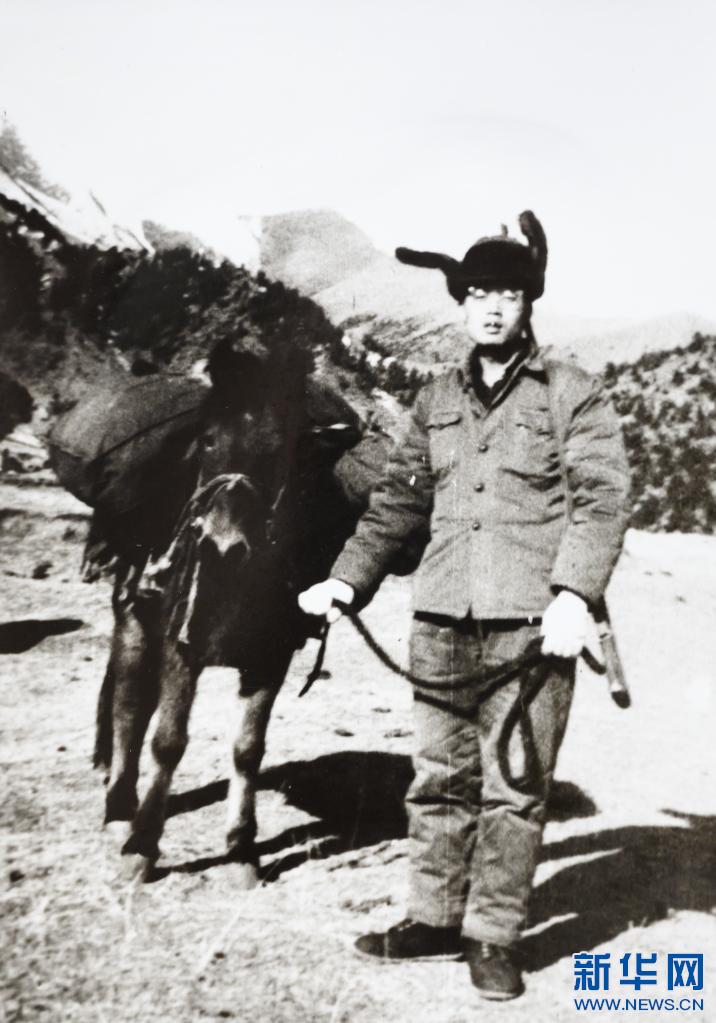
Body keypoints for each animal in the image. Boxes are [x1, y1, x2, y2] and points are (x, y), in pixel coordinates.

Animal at [91, 336, 376, 883]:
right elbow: (167, 740)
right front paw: (142, 845)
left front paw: (242, 847)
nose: (224, 547)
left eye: (283, 451)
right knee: (129, 708)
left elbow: (248, 749)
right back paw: (118, 809)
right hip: (135, 619)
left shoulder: (271, 654)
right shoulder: (180, 643)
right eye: (205, 441)